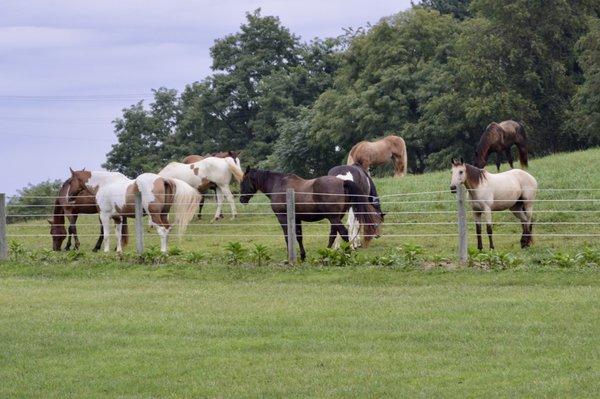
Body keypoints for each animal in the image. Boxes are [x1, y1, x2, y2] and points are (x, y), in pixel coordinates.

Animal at [67, 169, 199, 253]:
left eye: (70, 181)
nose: (68, 197)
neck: (104, 184)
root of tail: (163, 179)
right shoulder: (118, 218)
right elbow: (118, 235)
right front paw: (119, 251)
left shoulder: (104, 216)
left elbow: (106, 234)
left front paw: (106, 251)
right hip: (163, 215)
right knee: (167, 229)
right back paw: (166, 250)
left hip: (154, 215)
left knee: (162, 230)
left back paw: (162, 251)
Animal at [238, 169, 380, 262]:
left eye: (243, 181)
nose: (241, 199)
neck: (278, 185)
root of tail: (342, 182)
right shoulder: (297, 219)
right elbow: (299, 237)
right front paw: (302, 256)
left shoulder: (282, 217)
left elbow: (288, 237)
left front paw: (289, 258)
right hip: (336, 217)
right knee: (333, 234)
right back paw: (326, 254)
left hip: (333, 217)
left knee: (343, 233)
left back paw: (347, 254)